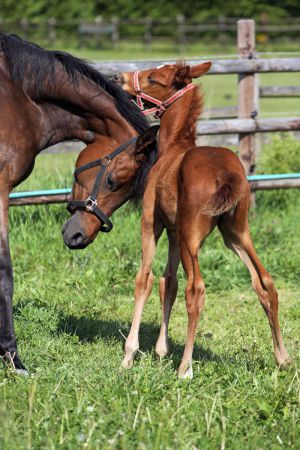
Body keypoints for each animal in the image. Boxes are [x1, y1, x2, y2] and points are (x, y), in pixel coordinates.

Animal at [116, 60, 290, 376]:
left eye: (153, 78)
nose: (118, 77)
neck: (172, 148)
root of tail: (227, 173)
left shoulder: (151, 223)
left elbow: (145, 279)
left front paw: (129, 355)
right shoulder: (173, 231)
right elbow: (168, 281)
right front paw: (161, 350)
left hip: (192, 236)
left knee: (195, 289)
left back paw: (185, 367)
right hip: (236, 232)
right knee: (265, 281)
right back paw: (283, 358)